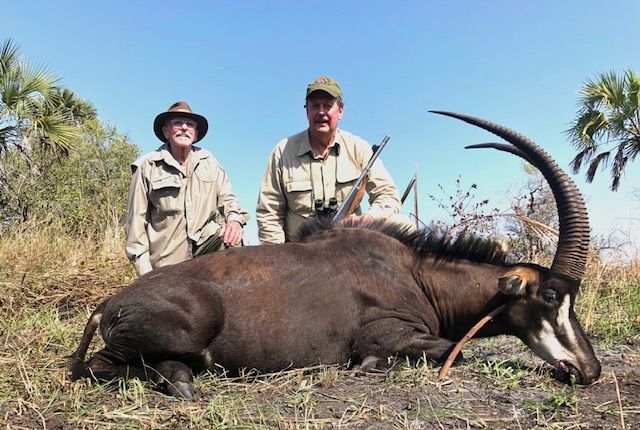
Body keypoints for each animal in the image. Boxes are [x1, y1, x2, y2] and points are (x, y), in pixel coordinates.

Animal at [68, 112, 601, 399]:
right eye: (552, 296)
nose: (589, 370)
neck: (416, 273)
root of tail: (110, 304)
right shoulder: (387, 333)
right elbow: (454, 348)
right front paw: (370, 367)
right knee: (96, 367)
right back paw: (180, 378)